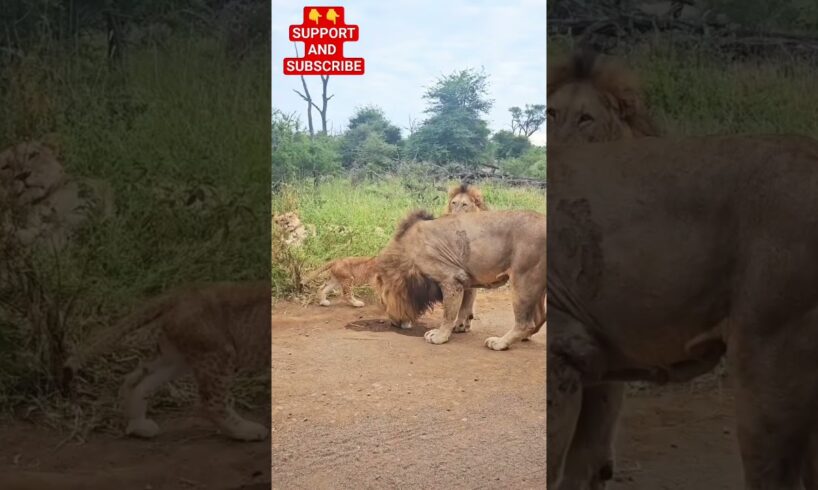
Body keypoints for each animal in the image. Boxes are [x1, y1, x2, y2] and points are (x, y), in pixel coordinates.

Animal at [372, 209, 544, 350]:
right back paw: (524, 338)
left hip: (523, 279)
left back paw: (500, 342)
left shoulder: (451, 279)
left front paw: (439, 336)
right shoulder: (466, 279)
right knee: (539, 319)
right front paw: (461, 326)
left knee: (525, 323)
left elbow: (448, 313)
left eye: (383, 302)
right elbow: (464, 306)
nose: (393, 322)